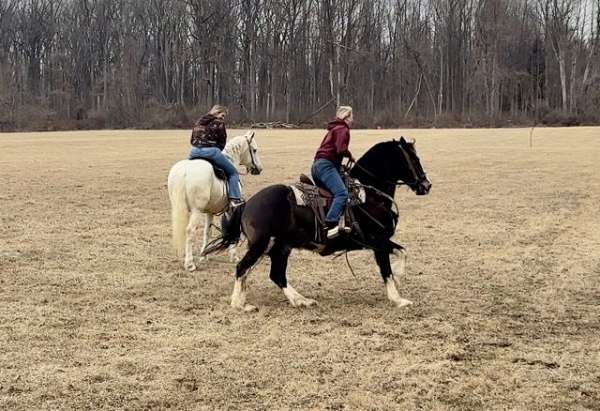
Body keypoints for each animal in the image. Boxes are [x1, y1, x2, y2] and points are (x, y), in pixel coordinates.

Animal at [169, 132, 262, 272]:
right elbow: (231, 229)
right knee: (190, 231)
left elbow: (207, 232)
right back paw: (190, 264)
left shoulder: (209, 212)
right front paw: (234, 256)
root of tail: (184, 171)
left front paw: (204, 255)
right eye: (254, 150)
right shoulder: (230, 209)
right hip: (196, 211)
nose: (259, 169)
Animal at [227, 137, 428, 310]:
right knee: (242, 268)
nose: (426, 185)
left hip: (281, 247)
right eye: (414, 158)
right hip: (262, 245)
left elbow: (401, 252)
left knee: (276, 274)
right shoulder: (377, 241)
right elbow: (389, 267)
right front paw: (398, 297)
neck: (369, 195)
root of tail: (248, 204)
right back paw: (240, 304)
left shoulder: (379, 241)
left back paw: (301, 300)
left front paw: (398, 281)